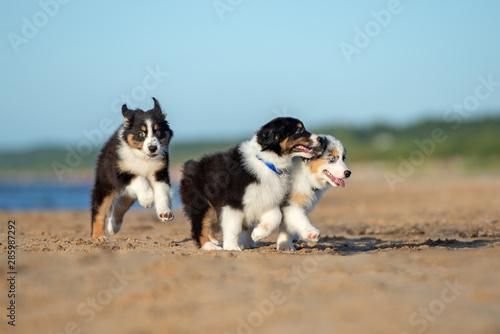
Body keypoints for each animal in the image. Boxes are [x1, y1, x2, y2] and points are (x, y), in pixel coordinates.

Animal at [91, 96, 175, 240]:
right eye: (141, 133)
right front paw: (147, 200)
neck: (143, 157)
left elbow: (162, 192)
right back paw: (99, 237)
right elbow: (140, 179)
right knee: (99, 211)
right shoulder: (119, 173)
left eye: (158, 131)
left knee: (120, 205)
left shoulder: (159, 173)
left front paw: (165, 212)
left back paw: (113, 227)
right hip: (105, 183)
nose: (153, 148)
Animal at [180, 117, 320, 250]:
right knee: (199, 228)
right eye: (299, 130)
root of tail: (189, 166)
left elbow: (276, 216)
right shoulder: (233, 202)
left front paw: (258, 234)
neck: (267, 162)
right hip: (202, 203)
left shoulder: (265, 199)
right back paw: (210, 246)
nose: (319, 138)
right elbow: (234, 227)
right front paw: (232, 247)